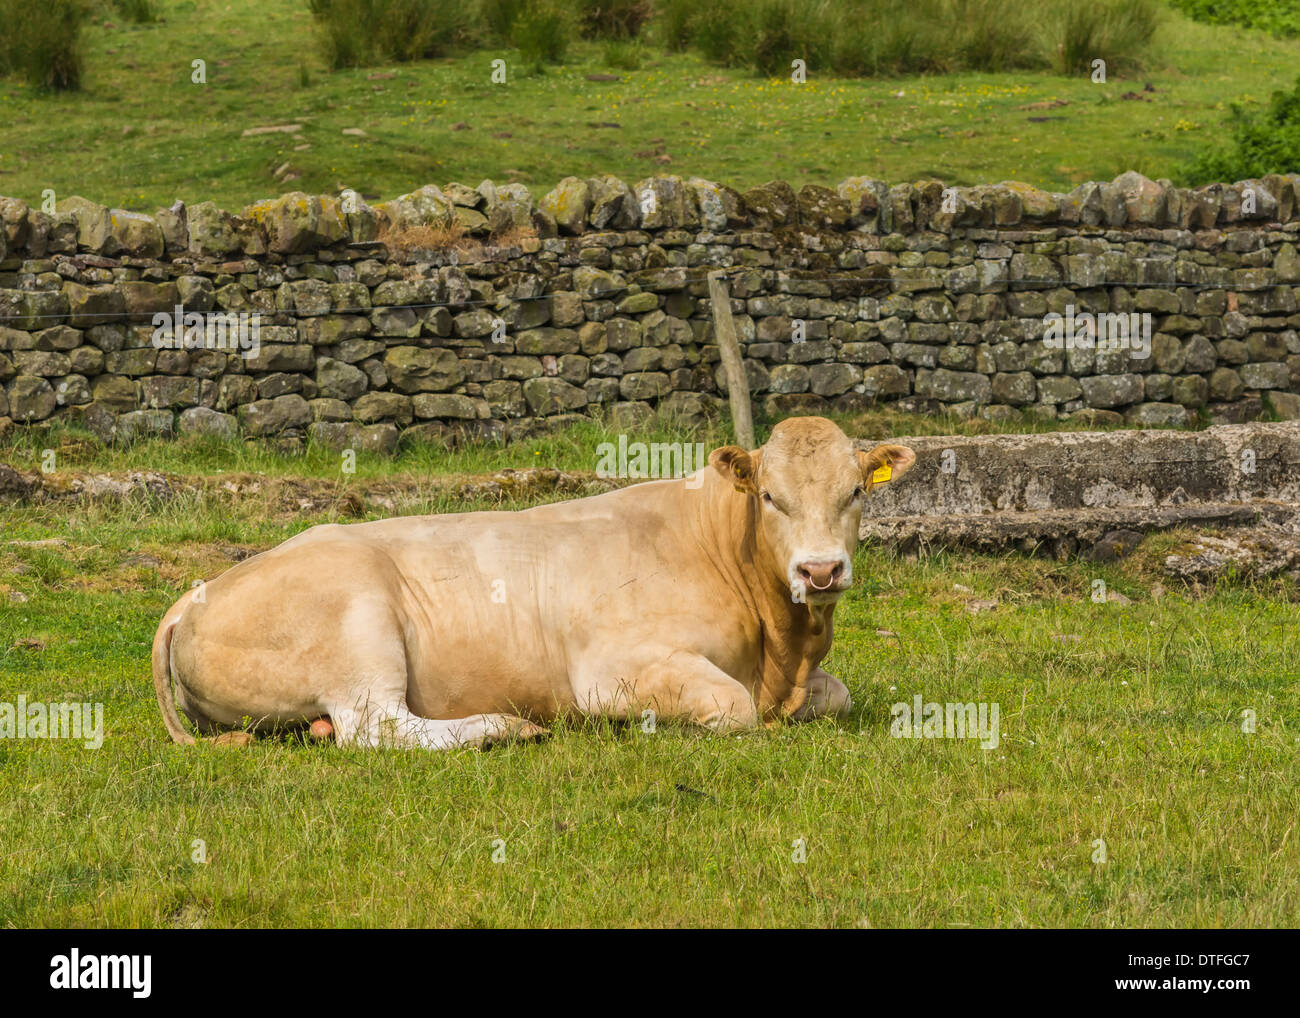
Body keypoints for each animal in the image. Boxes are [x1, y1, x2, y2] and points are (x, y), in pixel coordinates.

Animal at [149, 413, 915, 748]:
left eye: (855, 491)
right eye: (771, 498)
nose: (820, 570)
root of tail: (196, 592)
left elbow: (837, 695)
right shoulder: (612, 667)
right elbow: (732, 707)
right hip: (359, 625)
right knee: (376, 729)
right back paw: (505, 727)